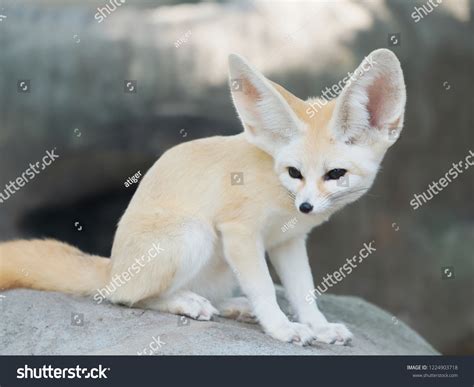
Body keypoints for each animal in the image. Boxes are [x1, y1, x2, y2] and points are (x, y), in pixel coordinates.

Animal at [1, 47, 406, 346]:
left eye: (335, 174)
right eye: (295, 173)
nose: (305, 206)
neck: (274, 182)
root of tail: (111, 266)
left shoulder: (287, 241)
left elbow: (303, 291)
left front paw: (317, 326)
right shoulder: (239, 233)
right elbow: (265, 289)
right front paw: (281, 328)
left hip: (218, 262)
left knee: (209, 295)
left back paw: (230, 306)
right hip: (194, 235)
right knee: (124, 296)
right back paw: (186, 302)